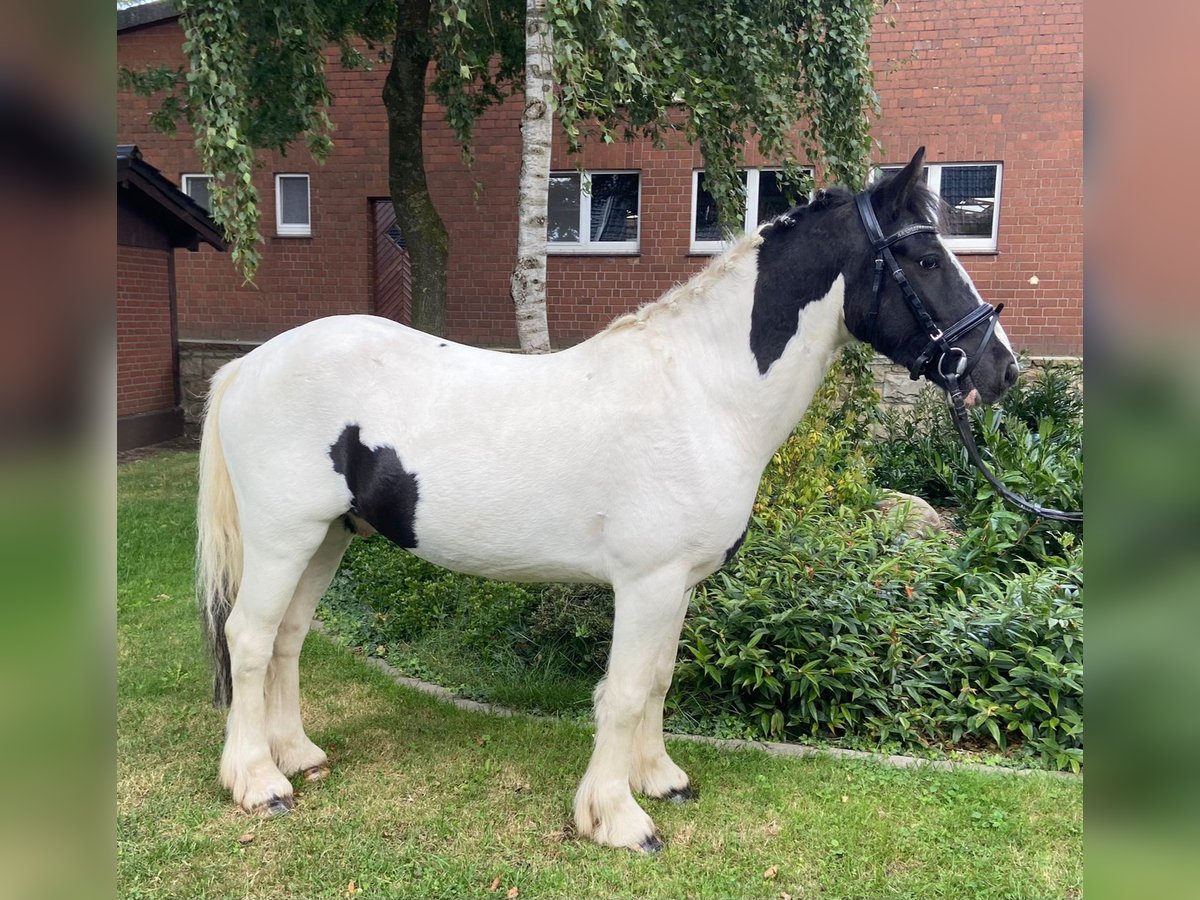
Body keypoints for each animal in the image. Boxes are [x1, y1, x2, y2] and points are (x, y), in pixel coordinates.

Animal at [194, 148, 1012, 854]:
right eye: (927, 259)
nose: (1000, 369)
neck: (701, 393)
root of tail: (248, 366)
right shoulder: (646, 583)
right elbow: (622, 691)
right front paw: (617, 819)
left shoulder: (679, 584)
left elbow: (657, 680)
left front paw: (659, 780)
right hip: (283, 538)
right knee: (250, 639)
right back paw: (258, 782)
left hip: (328, 537)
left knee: (288, 638)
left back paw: (296, 755)